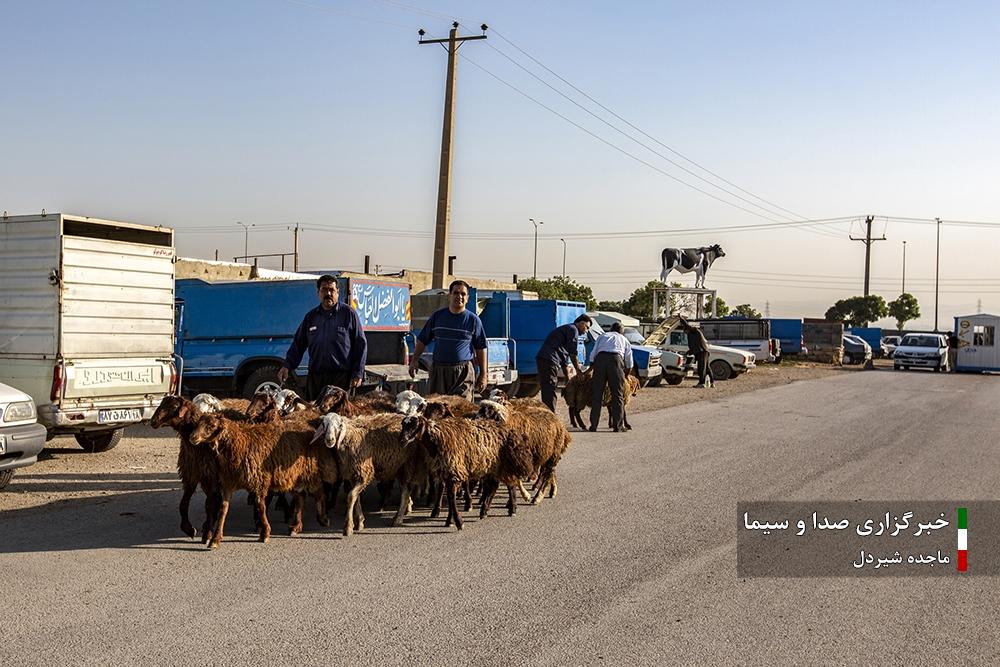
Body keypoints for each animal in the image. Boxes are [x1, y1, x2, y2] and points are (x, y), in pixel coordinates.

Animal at [189, 414, 338, 552]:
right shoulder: (227, 483)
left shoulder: (260, 481)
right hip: (290, 476)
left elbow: (260, 507)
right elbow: (223, 510)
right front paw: (215, 539)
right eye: (198, 423)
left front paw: (265, 533)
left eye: (211, 426)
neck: (239, 444)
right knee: (300, 497)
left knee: (320, 492)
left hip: (309, 471)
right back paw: (296, 526)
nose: (192, 437)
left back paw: (323, 519)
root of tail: (309, 427)